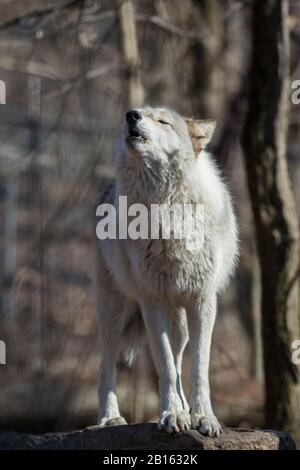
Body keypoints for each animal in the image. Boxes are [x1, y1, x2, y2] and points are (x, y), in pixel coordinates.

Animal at [95, 106, 238, 436]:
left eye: (162, 121)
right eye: (140, 113)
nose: (131, 114)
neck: (166, 211)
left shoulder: (203, 302)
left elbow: (197, 369)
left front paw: (204, 418)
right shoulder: (152, 303)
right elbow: (165, 366)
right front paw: (172, 415)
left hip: (180, 323)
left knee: (179, 356)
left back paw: (187, 409)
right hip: (115, 311)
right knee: (107, 364)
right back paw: (110, 418)